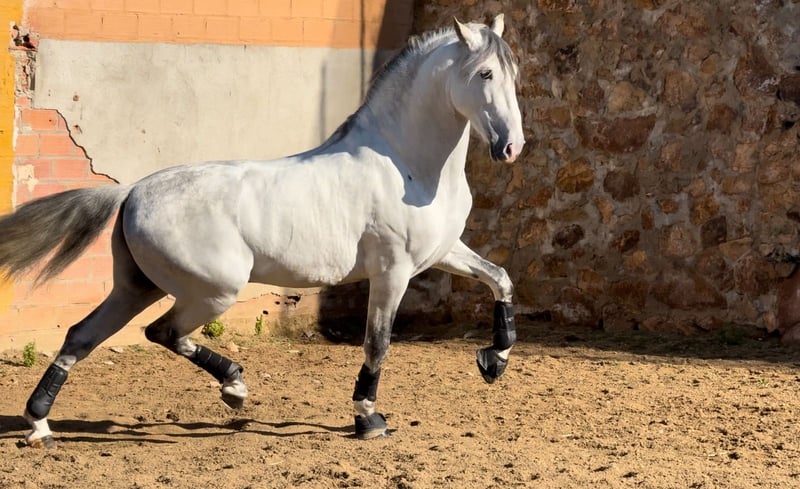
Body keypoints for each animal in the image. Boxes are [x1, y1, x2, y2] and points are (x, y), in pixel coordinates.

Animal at [2, 14, 524, 447]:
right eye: (484, 74)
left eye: (513, 74)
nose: (511, 148)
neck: (407, 165)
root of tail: (131, 191)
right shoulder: (392, 272)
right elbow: (378, 343)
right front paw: (368, 419)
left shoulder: (443, 252)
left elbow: (501, 278)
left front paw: (493, 361)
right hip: (212, 291)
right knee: (162, 332)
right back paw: (234, 385)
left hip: (138, 287)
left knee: (82, 336)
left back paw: (40, 425)